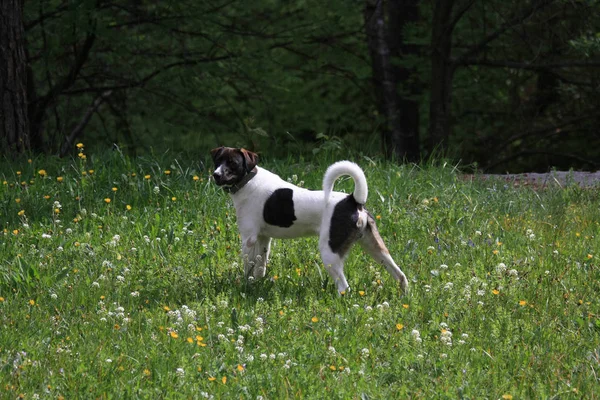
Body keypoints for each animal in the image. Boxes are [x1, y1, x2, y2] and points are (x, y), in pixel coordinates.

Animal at [210, 147, 408, 294]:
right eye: (217, 161)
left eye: (232, 163)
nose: (216, 175)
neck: (248, 180)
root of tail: (353, 200)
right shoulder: (263, 239)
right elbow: (260, 267)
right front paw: (256, 285)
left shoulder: (248, 239)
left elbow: (249, 268)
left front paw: (245, 287)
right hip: (375, 247)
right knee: (400, 275)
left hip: (330, 252)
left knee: (344, 287)